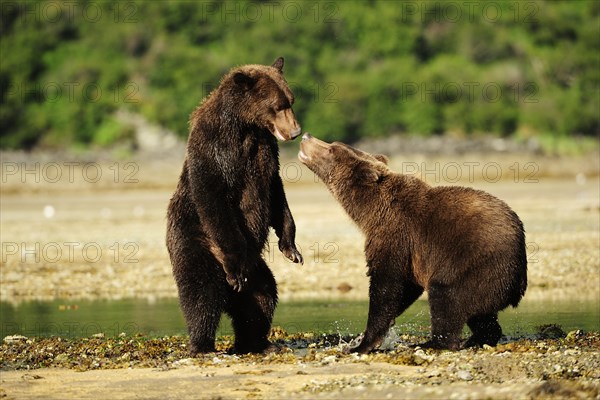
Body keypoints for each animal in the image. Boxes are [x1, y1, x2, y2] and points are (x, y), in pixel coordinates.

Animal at [165, 57, 302, 354]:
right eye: (278, 106)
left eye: (291, 100)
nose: (296, 132)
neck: (244, 126)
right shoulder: (215, 147)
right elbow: (214, 198)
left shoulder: (265, 150)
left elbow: (276, 192)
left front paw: (291, 248)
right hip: (194, 242)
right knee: (202, 294)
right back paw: (202, 344)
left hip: (257, 269)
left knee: (262, 299)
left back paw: (255, 342)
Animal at [298, 134, 528, 354]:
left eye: (332, 149)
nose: (306, 136)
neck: (368, 211)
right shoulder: (411, 255)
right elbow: (404, 288)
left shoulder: (396, 235)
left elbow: (386, 285)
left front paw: (362, 344)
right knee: (481, 316)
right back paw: (475, 339)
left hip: (474, 268)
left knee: (446, 299)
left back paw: (433, 343)